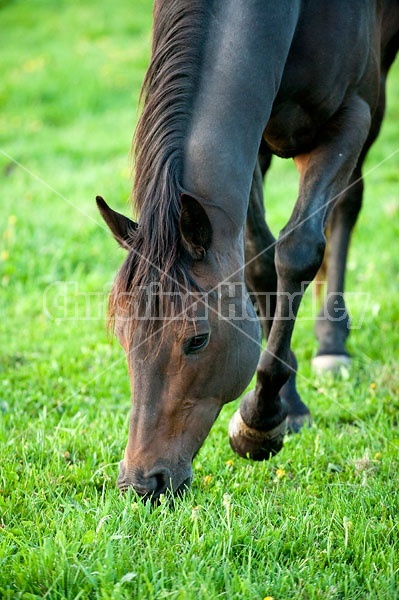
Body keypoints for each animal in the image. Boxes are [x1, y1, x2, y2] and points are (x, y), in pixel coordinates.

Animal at [97, 0, 399, 500]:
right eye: (122, 335)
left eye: (197, 339)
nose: (141, 483)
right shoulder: (252, 142)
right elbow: (259, 262)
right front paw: (287, 402)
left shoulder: (351, 115)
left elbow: (297, 251)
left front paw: (260, 422)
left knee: (346, 203)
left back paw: (331, 340)